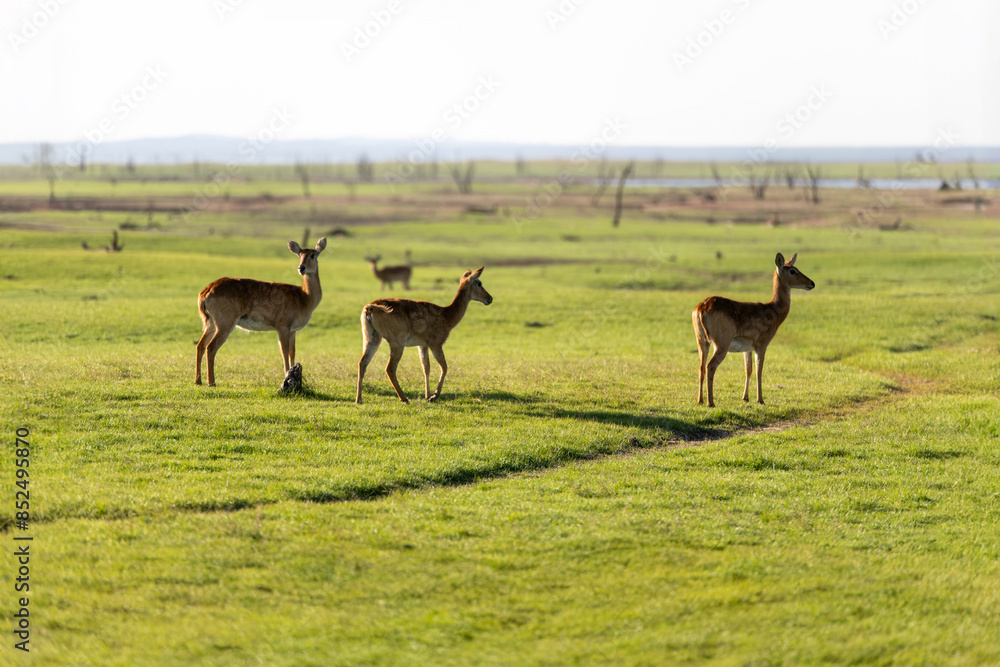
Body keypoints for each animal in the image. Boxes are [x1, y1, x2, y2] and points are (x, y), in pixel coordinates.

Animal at [195, 238, 327, 387]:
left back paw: (198, 380)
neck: (304, 297)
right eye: (300, 255)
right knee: (211, 347)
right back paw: (212, 382)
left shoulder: (293, 330)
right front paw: (286, 377)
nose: (301, 268)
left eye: (313, 255)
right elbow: (284, 351)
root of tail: (205, 292)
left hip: (210, 322)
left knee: (200, 345)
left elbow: (292, 352)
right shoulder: (282, 326)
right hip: (225, 322)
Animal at [356, 267, 493, 404]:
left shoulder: (422, 344)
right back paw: (404, 398)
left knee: (363, 362)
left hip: (371, 337)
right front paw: (433, 396)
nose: (490, 298)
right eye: (479, 283)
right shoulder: (436, 342)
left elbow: (426, 367)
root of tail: (369, 308)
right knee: (390, 368)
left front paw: (427, 395)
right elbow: (444, 366)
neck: (447, 316)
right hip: (397, 341)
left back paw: (359, 399)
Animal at [692, 252, 815, 407]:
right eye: (793, 271)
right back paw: (711, 402)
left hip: (702, 341)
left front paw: (745, 397)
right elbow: (759, 370)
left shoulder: (747, 347)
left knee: (701, 367)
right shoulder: (762, 344)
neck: (773, 311)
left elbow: (748, 369)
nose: (812, 283)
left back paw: (700, 400)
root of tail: (702, 308)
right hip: (721, 344)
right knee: (710, 366)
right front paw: (760, 399)